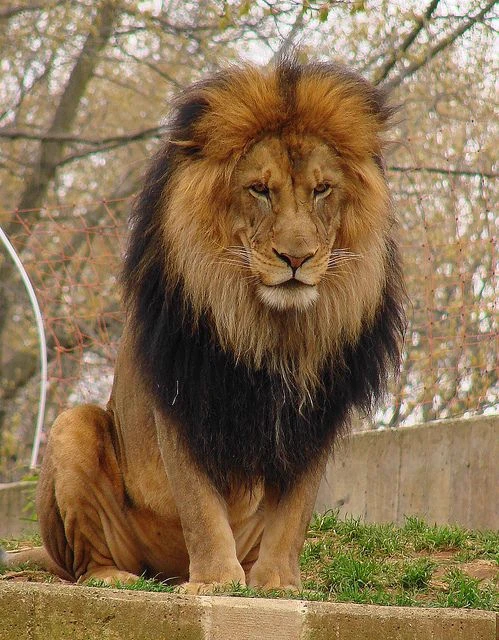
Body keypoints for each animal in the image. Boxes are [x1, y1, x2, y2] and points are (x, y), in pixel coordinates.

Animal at [2, 56, 405, 593]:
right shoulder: (184, 398)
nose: (296, 258)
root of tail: (164, 572)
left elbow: (293, 515)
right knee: (86, 560)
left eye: (322, 190)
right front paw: (216, 581)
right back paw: (117, 579)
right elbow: (200, 505)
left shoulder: (314, 415)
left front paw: (277, 584)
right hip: (72, 429)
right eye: (260, 189)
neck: (270, 328)